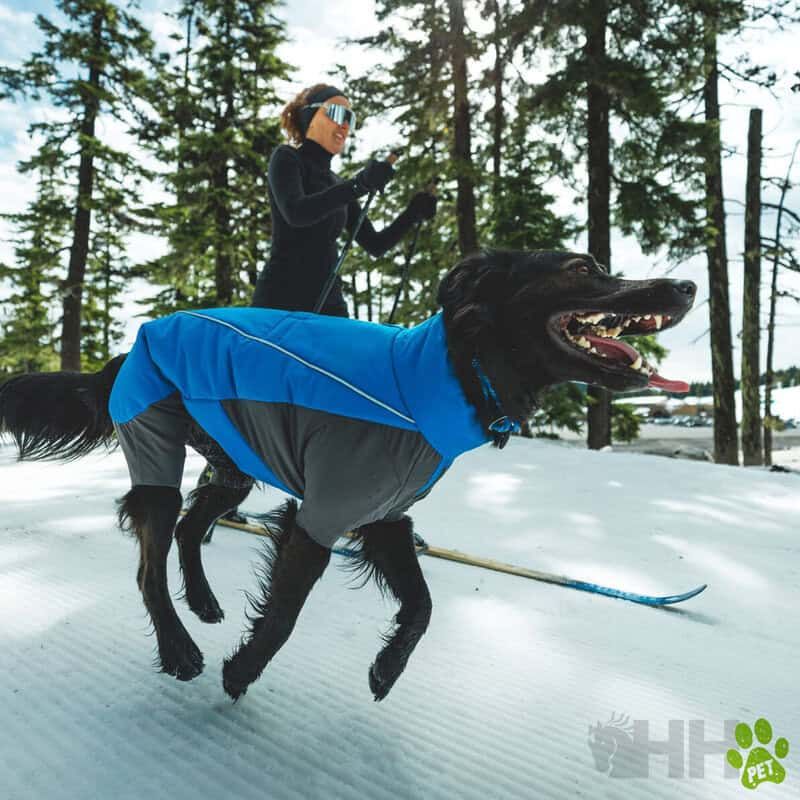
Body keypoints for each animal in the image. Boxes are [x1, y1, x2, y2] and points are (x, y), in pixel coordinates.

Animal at [0, 250, 695, 701]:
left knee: (193, 528)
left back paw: (202, 601)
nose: (685, 286)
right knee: (152, 561)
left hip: (233, 462)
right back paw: (179, 648)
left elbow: (423, 605)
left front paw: (386, 668)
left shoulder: (384, 517)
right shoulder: (321, 516)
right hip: (157, 458)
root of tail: (134, 342)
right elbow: (284, 615)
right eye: (582, 270)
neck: (447, 372)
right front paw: (241, 673)